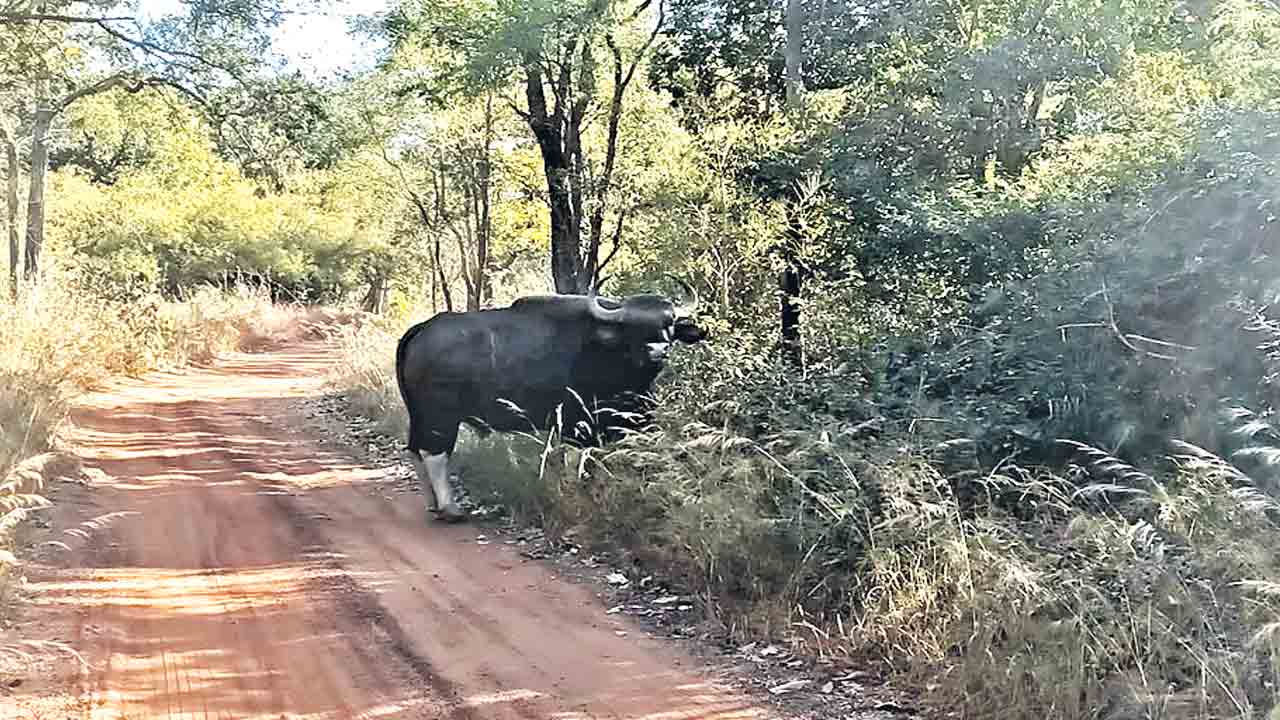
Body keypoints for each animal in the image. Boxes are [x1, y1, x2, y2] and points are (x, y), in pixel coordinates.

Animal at [394, 284, 707, 522]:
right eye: (633, 327)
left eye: (669, 323)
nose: (658, 350)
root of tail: (421, 329)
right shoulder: (574, 424)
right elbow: (577, 463)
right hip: (440, 416)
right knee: (435, 453)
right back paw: (450, 508)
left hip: (419, 413)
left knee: (415, 449)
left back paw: (434, 504)